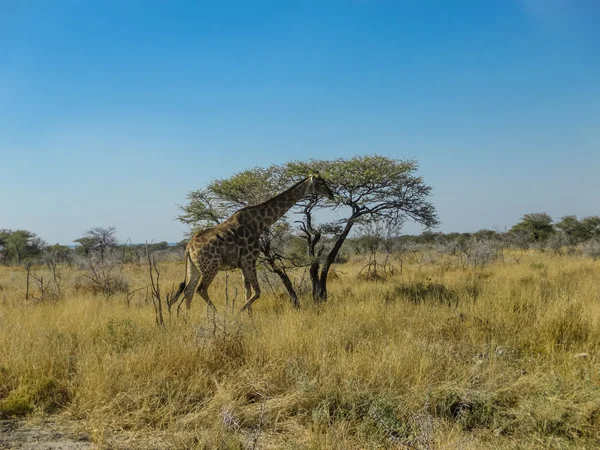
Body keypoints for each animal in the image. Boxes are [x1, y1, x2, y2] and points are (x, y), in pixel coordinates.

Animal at [173, 172, 336, 312]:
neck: (259, 224)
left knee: (188, 290)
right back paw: (217, 315)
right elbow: (257, 292)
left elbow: (248, 291)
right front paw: (237, 314)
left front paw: (248, 319)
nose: (332, 195)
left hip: (194, 267)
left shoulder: (243, 264)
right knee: (200, 289)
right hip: (211, 265)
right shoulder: (250, 259)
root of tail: (188, 248)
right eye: (321, 183)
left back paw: (187, 319)